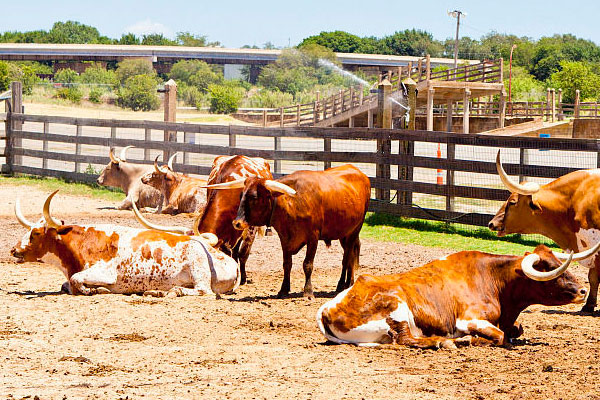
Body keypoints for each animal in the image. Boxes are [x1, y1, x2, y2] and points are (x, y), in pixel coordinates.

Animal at [10, 191, 240, 296]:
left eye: (36, 233)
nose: (13, 250)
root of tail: (229, 260)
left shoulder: (105, 272)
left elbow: (76, 281)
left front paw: (97, 290)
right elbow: (67, 284)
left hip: (198, 268)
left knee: (203, 291)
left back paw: (174, 291)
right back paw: (158, 291)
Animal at [205, 164, 370, 298]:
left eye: (255, 197)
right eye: (241, 195)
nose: (237, 223)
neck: (292, 203)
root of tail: (359, 173)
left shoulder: (313, 237)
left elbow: (307, 264)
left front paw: (308, 292)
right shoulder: (285, 238)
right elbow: (287, 264)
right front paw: (283, 289)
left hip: (354, 231)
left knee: (347, 258)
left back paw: (342, 285)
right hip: (344, 234)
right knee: (350, 257)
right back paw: (348, 284)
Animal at [316, 244, 596, 346]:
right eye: (548, 267)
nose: (583, 290)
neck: (491, 278)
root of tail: (327, 309)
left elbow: (514, 330)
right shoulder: (469, 319)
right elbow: (501, 336)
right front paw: (471, 339)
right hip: (397, 307)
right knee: (407, 340)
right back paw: (446, 341)